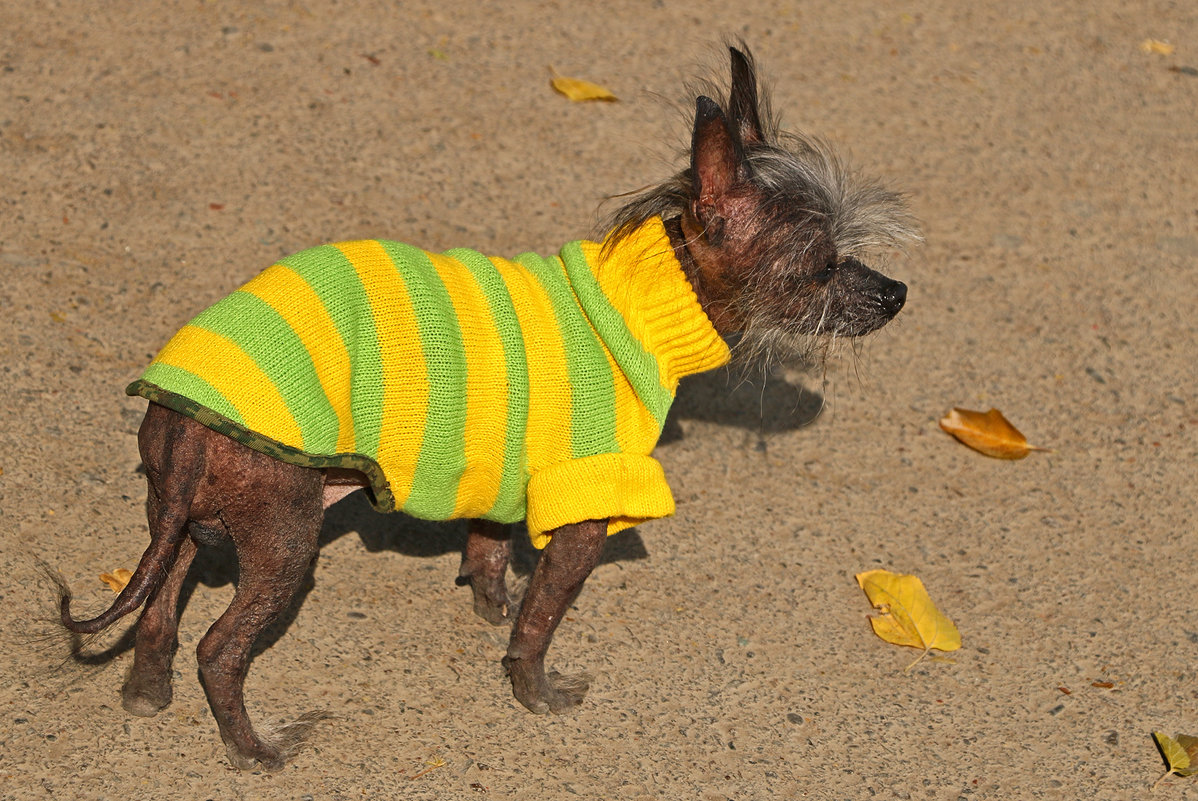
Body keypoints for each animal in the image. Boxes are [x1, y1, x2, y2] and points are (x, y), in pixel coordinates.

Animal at [53, 45, 915, 766]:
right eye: (823, 265)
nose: (896, 293)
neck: (642, 300)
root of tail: (188, 418)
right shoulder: (583, 507)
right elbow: (541, 619)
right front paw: (535, 691)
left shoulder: (507, 466)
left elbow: (490, 546)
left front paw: (487, 601)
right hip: (283, 537)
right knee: (219, 648)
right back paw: (254, 748)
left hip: (179, 517)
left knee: (159, 607)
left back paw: (146, 690)